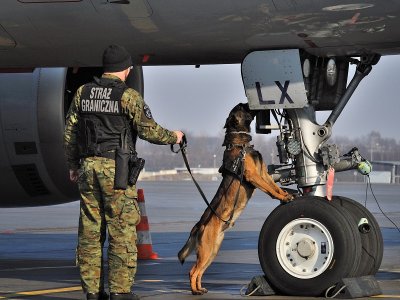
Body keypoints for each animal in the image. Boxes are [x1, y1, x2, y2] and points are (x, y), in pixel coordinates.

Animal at [178, 102, 294, 294]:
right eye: (242, 107)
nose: (247, 102)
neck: (240, 145)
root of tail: (198, 226)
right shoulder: (254, 175)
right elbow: (270, 189)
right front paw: (283, 198)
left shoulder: (263, 173)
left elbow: (274, 186)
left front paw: (285, 194)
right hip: (207, 250)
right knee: (192, 271)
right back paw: (195, 291)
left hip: (212, 251)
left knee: (199, 271)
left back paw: (200, 288)